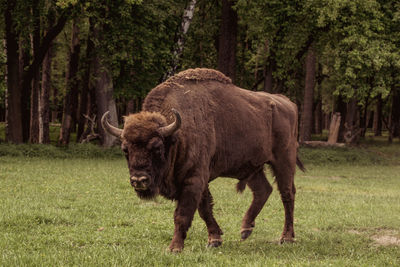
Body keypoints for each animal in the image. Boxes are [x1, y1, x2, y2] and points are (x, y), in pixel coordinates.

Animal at [101, 68, 304, 253]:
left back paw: (286, 238)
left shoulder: (194, 179)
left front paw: (175, 248)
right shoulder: (200, 179)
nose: (139, 180)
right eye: (125, 149)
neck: (176, 135)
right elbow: (205, 208)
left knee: (287, 194)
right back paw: (245, 229)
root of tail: (287, 103)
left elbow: (183, 214)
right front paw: (214, 239)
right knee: (264, 190)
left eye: (157, 147)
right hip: (251, 168)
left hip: (284, 161)